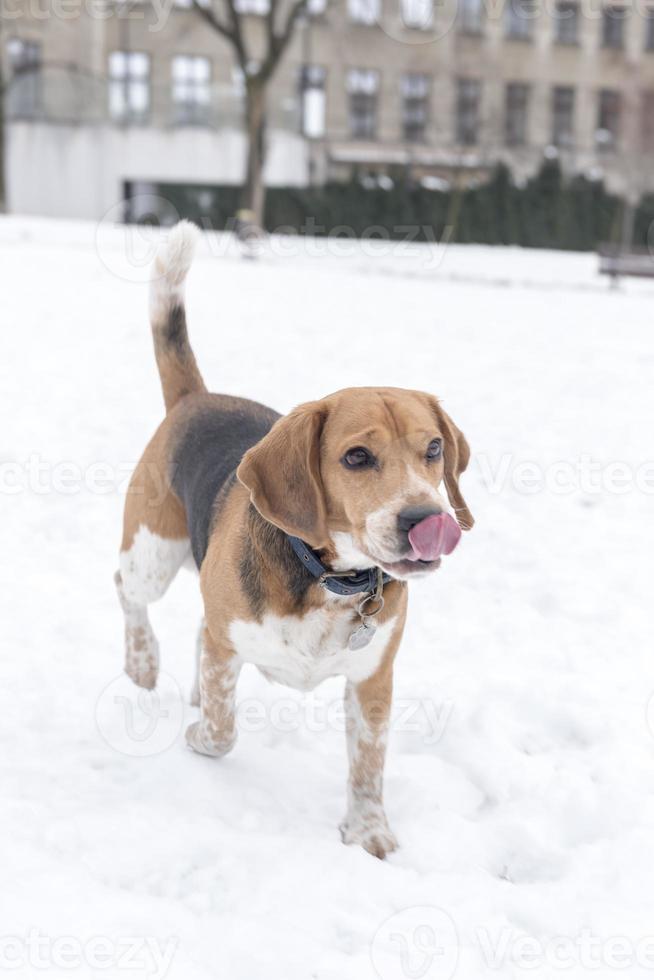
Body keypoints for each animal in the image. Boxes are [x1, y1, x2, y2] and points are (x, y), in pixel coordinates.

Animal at [116, 224, 476, 856]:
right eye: (356, 457)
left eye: (433, 448)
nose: (424, 519)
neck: (328, 578)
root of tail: (196, 397)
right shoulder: (228, 648)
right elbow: (223, 730)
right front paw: (198, 735)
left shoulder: (373, 678)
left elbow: (368, 765)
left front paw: (369, 833)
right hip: (152, 554)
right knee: (128, 591)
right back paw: (141, 662)